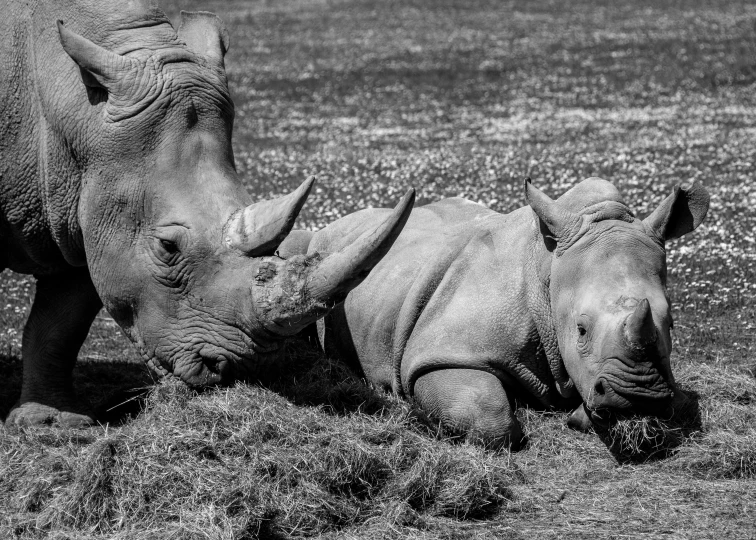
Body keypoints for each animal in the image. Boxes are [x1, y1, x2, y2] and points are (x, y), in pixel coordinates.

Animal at [0, 2, 414, 428]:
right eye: (167, 247)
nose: (234, 370)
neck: (78, 108)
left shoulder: (89, 218)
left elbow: (60, 325)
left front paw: (53, 423)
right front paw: (47, 424)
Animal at [302, 177, 708, 448]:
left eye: (671, 323)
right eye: (580, 330)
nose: (638, 397)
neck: (547, 270)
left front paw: (583, 415)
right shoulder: (441, 352)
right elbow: (489, 417)